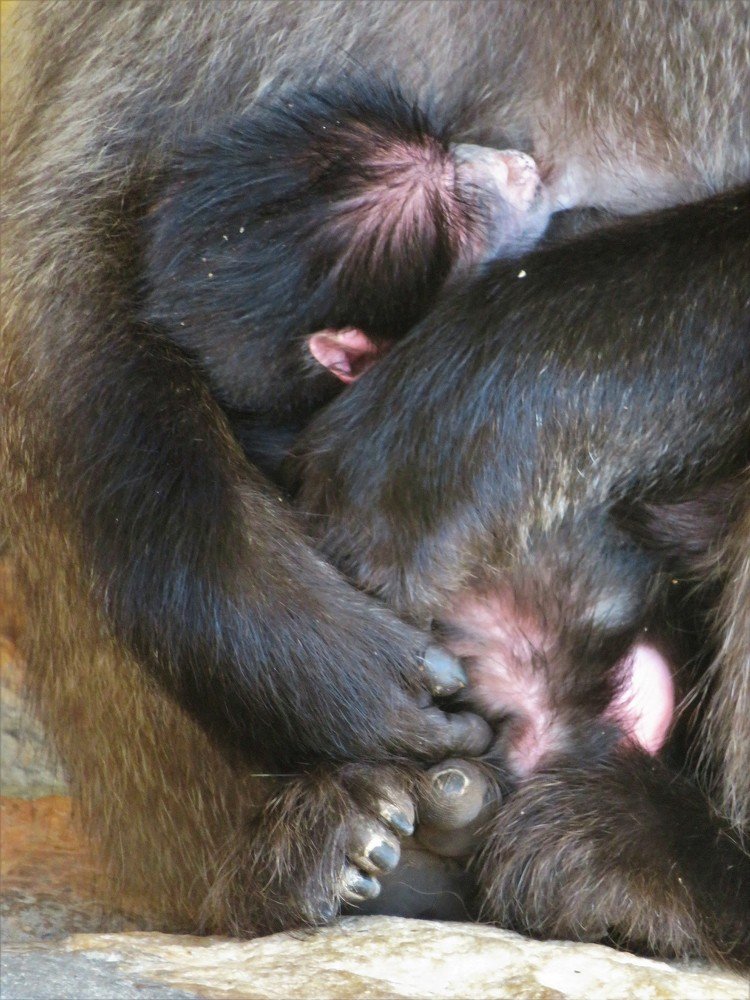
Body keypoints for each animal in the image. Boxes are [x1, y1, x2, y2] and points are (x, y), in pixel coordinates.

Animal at [2, 0, 749, 948]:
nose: (513, 165)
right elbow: (85, 222)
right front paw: (309, 652)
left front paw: (436, 436)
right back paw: (339, 849)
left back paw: (664, 866)